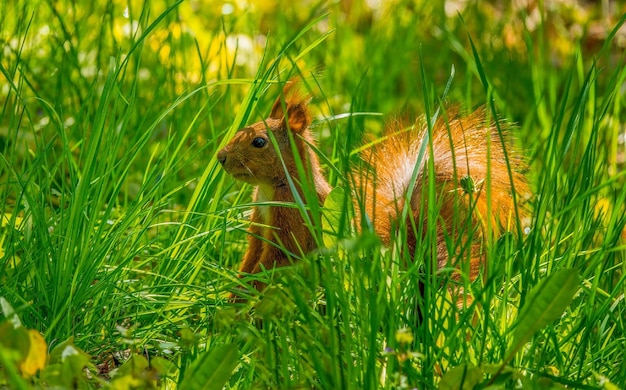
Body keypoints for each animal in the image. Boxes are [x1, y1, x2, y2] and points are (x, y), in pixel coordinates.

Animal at [217, 83, 528, 302]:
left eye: (259, 142)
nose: (220, 157)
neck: (271, 188)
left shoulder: (294, 220)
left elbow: (277, 260)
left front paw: (242, 298)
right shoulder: (260, 221)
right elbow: (252, 257)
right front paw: (234, 294)